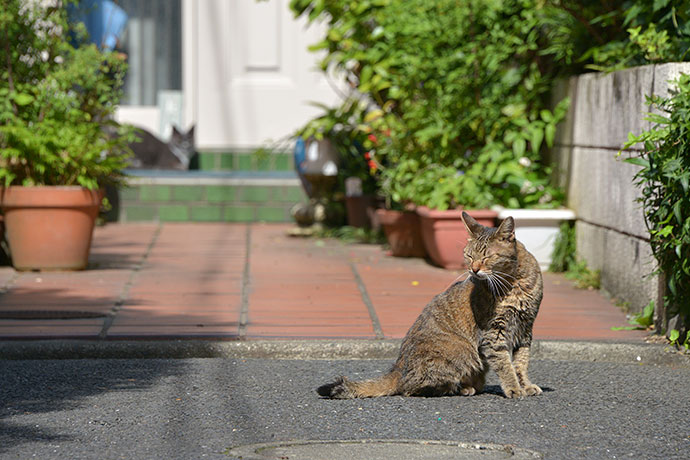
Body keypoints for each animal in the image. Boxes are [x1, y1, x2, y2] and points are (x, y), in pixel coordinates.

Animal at [318, 212, 544, 398]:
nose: (473, 270)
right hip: (462, 352)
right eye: (469, 255)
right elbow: (505, 364)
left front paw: (525, 385)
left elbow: (520, 363)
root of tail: (397, 368)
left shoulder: (525, 329)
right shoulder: (494, 333)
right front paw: (514, 389)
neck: (514, 283)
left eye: (487, 257)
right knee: (410, 388)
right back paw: (458, 388)